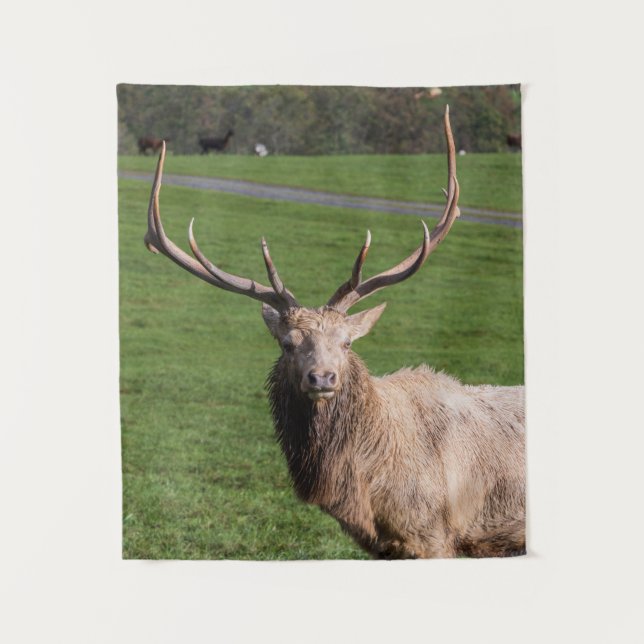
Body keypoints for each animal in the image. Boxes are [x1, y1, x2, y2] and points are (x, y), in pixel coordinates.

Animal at [144, 107, 526, 559]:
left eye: (346, 343)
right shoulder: (385, 547)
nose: (322, 378)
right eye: (288, 343)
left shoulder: (438, 536)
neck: (368, 491)